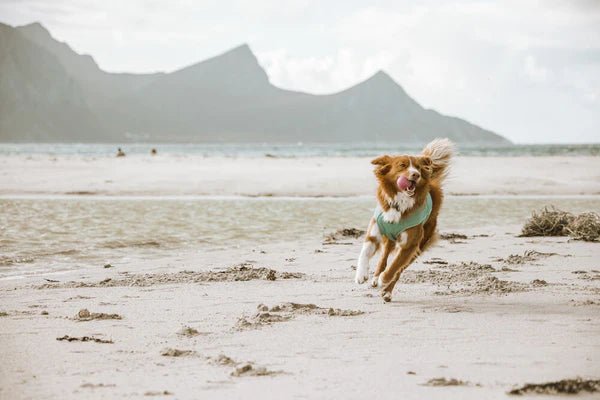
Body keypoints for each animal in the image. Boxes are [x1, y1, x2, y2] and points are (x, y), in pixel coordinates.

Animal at [354, 139, 452, 302]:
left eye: (418, 167)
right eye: (402, 165)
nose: (416, 174)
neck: (399, 204)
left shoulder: (409, 244)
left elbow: (395, 266)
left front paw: (384, 280)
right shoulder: (374, 232)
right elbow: (364, 253)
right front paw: (361, 274)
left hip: (419, 246)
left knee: (399, 270)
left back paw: (387, 291)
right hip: (389, 238)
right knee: (384, 257)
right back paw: (375, 277)